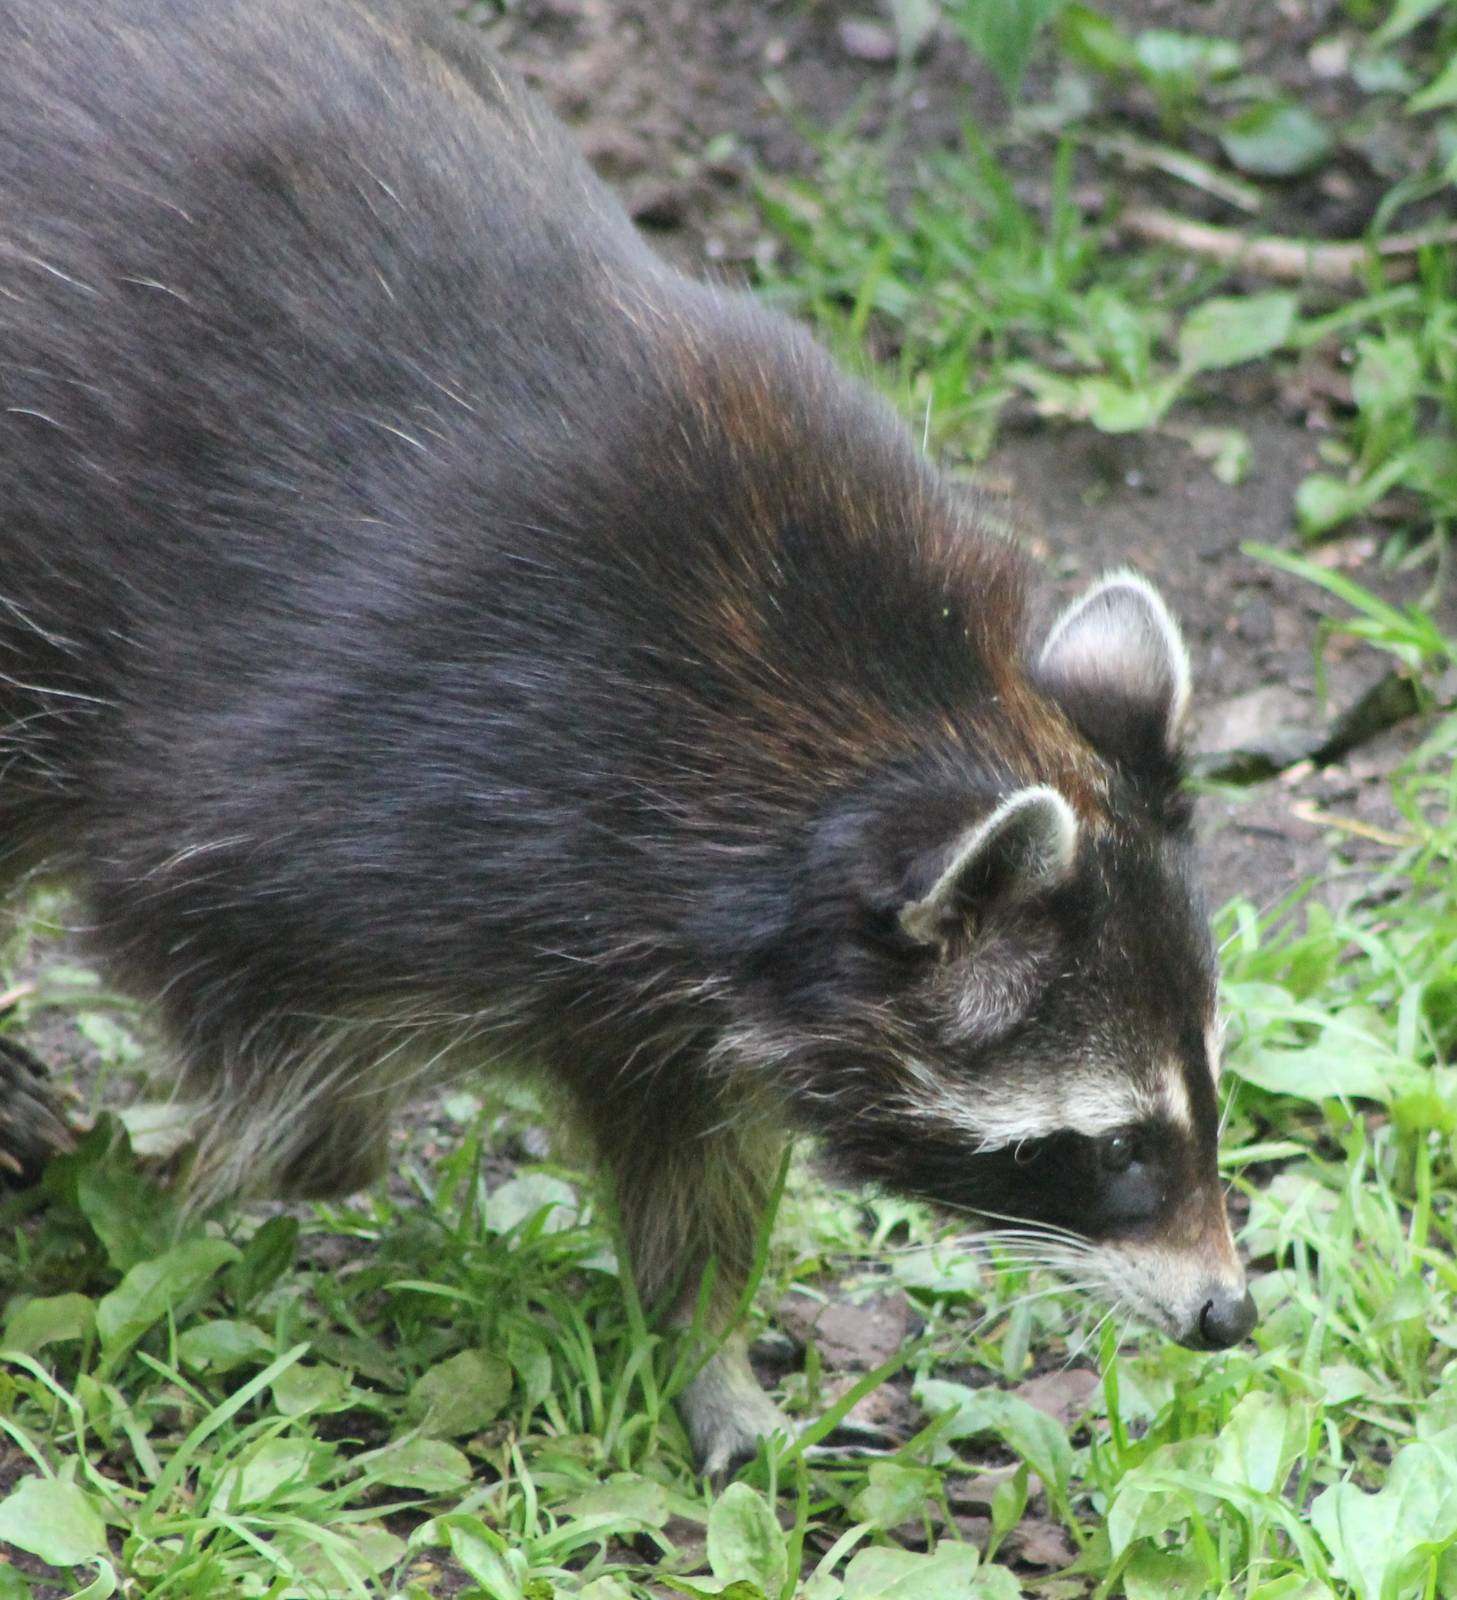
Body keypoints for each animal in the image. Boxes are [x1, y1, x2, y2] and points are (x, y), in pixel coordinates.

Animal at [0, 0, 1254, 1472]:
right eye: (1112, 1148)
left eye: (1210, 1098)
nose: (1230, 1315)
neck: (865, 705)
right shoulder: (369, 770)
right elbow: (271, 1020)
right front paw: (244, 1158)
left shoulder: (675, 960)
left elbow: (692, 1156)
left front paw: (709, 1356)